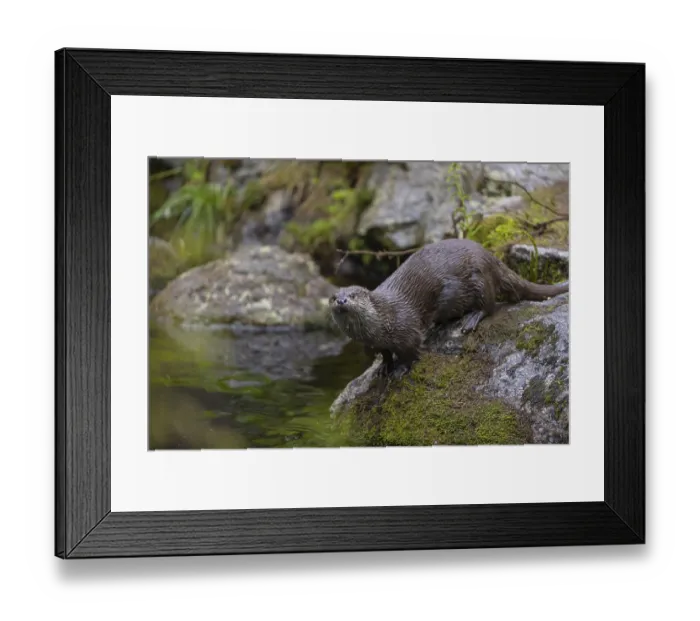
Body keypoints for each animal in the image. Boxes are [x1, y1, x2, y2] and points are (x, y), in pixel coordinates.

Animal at [329, 238, 568, 376]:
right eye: (333, 297)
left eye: (352, 295)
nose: (341, 301)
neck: (381, 322)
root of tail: (490, 257)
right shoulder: (377, 343)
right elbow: (385, 353)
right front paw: (384, 367)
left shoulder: (406, 330)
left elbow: (410, 352)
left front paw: (400, 369)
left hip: (479, 278)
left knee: (489, 305)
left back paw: (470, 320)